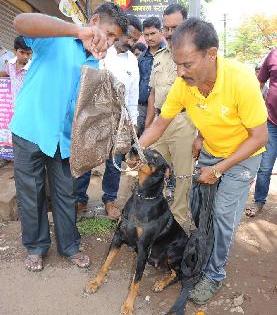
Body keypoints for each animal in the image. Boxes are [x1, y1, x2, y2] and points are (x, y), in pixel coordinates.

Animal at [84, 149, 188, 314]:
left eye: (156, 157)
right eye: (146, 149)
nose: (133, 148)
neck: (143, 197)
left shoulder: (143, 249)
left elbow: (136, 281)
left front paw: (128, 306)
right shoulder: (118, 237)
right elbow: (105, 264)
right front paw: (95, 283)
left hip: (172, 252)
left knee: (177, 274)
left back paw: (161, 283)